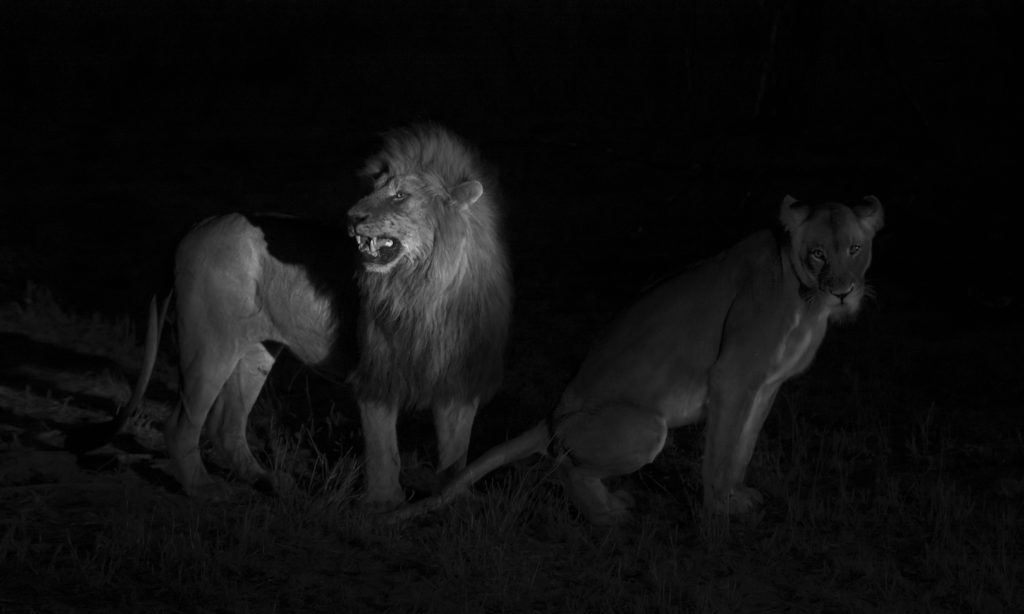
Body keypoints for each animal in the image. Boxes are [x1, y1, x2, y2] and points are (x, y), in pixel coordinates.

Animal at [81, 123, 512, 503]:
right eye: (372, 191)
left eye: (400, 195)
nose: (351, 217)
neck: (429, 288)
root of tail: (198, 223)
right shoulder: (375, 377)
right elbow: (384, 452)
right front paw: (384, 505)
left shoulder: (459, 382)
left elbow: (457, 456)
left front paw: (454, 502)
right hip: (208, 344)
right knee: (180, 425)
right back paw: (204, 489)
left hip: (256, 351)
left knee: (226, 425)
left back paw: (268, 481)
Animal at [391, 195, 880, 521]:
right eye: (818, 253)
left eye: (855, 249)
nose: (843, 291)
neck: (809, 304)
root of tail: (552, 415)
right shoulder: (732, 378)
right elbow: (721, 452)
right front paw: (719, 511)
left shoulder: (764, 387)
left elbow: (743, 447)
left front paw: (739, 496)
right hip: (647, 427)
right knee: (566, 465)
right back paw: (609, 516)